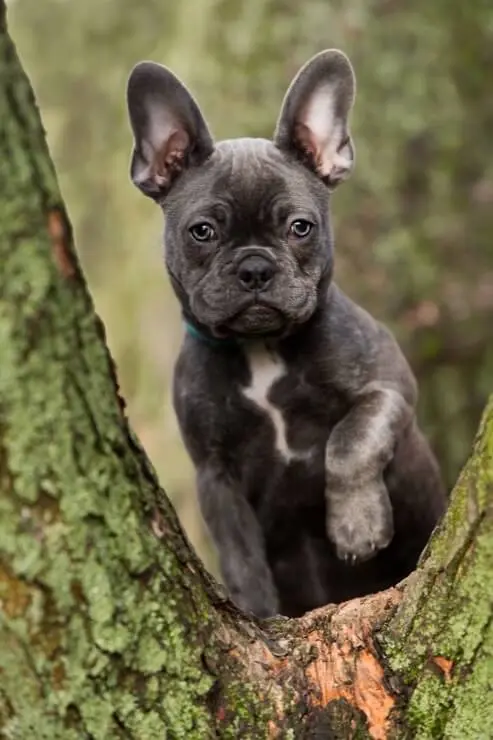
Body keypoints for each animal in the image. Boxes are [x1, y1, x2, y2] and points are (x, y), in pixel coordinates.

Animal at [124, 49, 446, 620]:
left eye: (301, 227)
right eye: (202, 231)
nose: (255, 268)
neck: (262, 349)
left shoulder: (388, 389)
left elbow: (350, 441)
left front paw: (356, 525)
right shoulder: (216, 474)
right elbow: (239, 550)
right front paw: (256, 612)